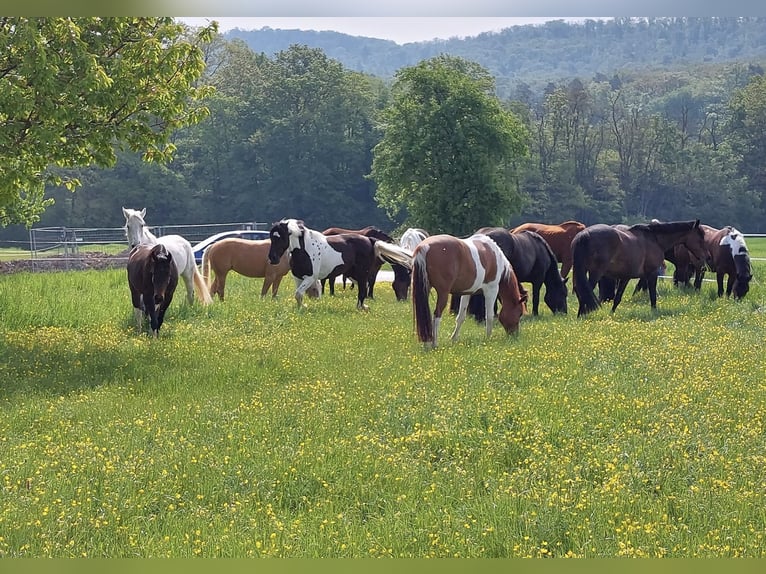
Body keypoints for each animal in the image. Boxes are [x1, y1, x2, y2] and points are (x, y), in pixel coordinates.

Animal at [572, 220, 712, 320]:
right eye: (701, 238)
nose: (708, 256)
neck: (655, 239)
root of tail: (584, 234)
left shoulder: (625, 277)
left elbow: (618, 298)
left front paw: (611, 314)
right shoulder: (652, 274)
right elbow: (653, 296)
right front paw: (654, 312)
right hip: (595, 273)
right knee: (585, 292)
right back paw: (582, 316)